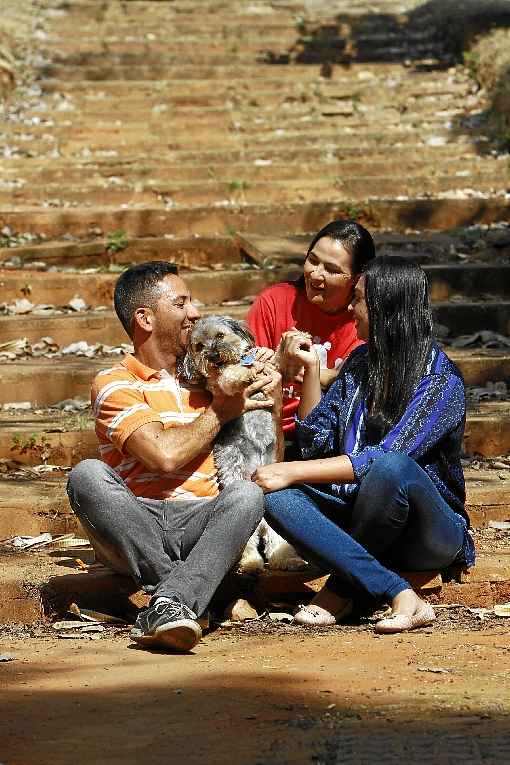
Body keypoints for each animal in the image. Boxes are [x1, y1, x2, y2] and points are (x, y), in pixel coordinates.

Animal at [181, 314, 304, 572]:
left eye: (220, 335)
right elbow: (228, 377)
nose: (213, 355)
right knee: (248, 544)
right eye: (198, 346)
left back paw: (288, 559)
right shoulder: (220, 387)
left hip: (275, 519)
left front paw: (294, 345)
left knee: (276, 541)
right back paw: (250, 565)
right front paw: (241, 374)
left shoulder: (271, 370)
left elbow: (278, 361)